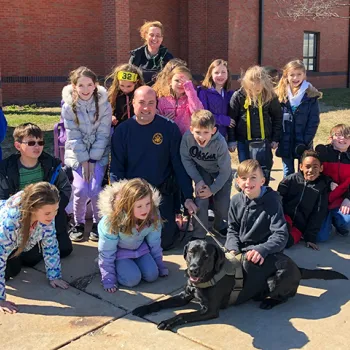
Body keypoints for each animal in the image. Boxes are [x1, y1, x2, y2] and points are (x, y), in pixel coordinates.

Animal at [133, 239, 348, 330]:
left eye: (206, 256)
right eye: (191, 253)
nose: (192, 270)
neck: (208, 277)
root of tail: (297, 266)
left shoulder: (210, 310)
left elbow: (184, 315)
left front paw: (168, 321)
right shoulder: (185, 295)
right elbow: (161, 302)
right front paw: (143, 308)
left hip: (275, 278)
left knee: (286, 296)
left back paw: (268, 301)